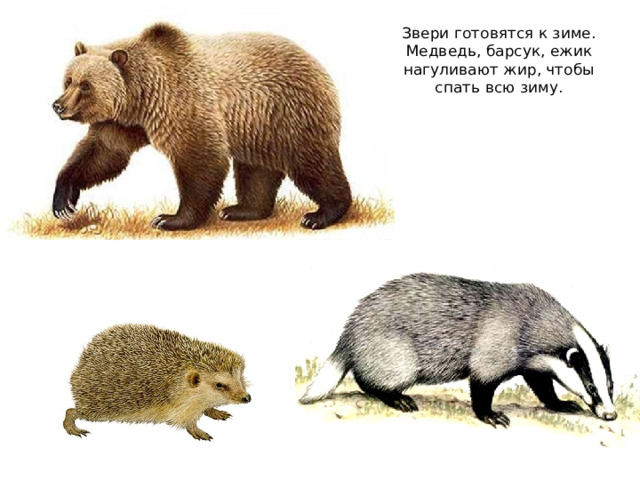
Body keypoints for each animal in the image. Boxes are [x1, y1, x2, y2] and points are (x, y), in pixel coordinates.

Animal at [52, 23, 352, 231]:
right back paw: (242, 209)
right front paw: (63, 200)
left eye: (86, 86)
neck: (141, 98)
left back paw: (322, 214)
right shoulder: (124, 122)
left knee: (312, 163)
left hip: (291, 113)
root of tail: (318, 65)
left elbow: (200, 157)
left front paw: (170, 219)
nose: (58, 105)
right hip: (257, 127)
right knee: (256, 170)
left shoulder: (183, 103)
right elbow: (104, 153)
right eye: (68, 80)